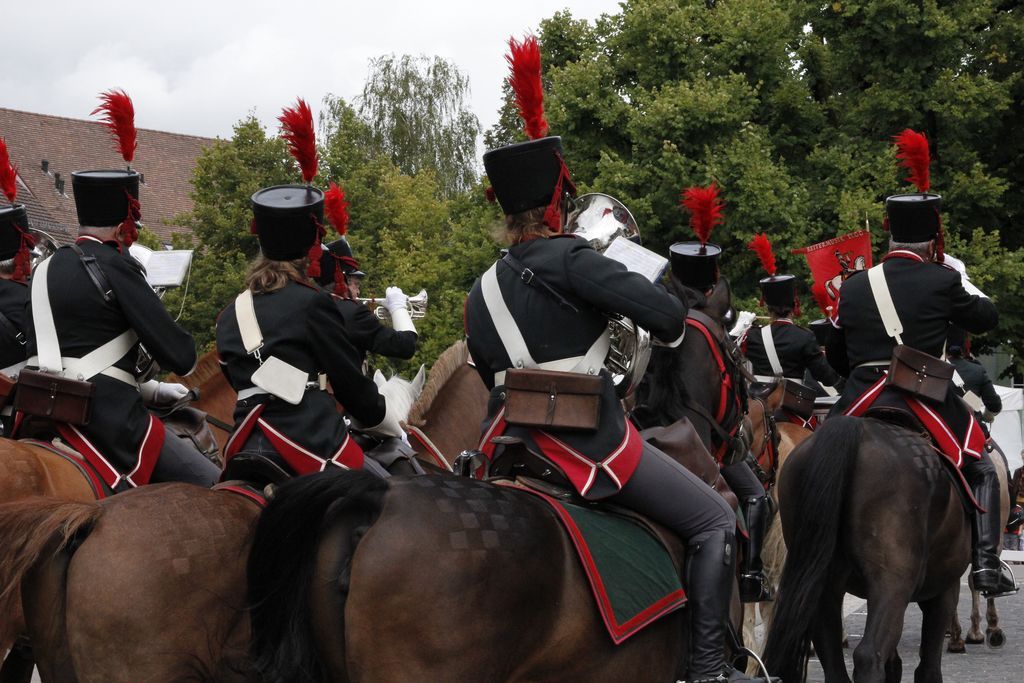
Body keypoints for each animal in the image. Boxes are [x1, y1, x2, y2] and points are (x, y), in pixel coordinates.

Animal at [765, 417, 970, 683]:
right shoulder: (944, 589)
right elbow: (928, 668)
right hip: (892, 583)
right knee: (869, 654)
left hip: (823, 583)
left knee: (834, 663)